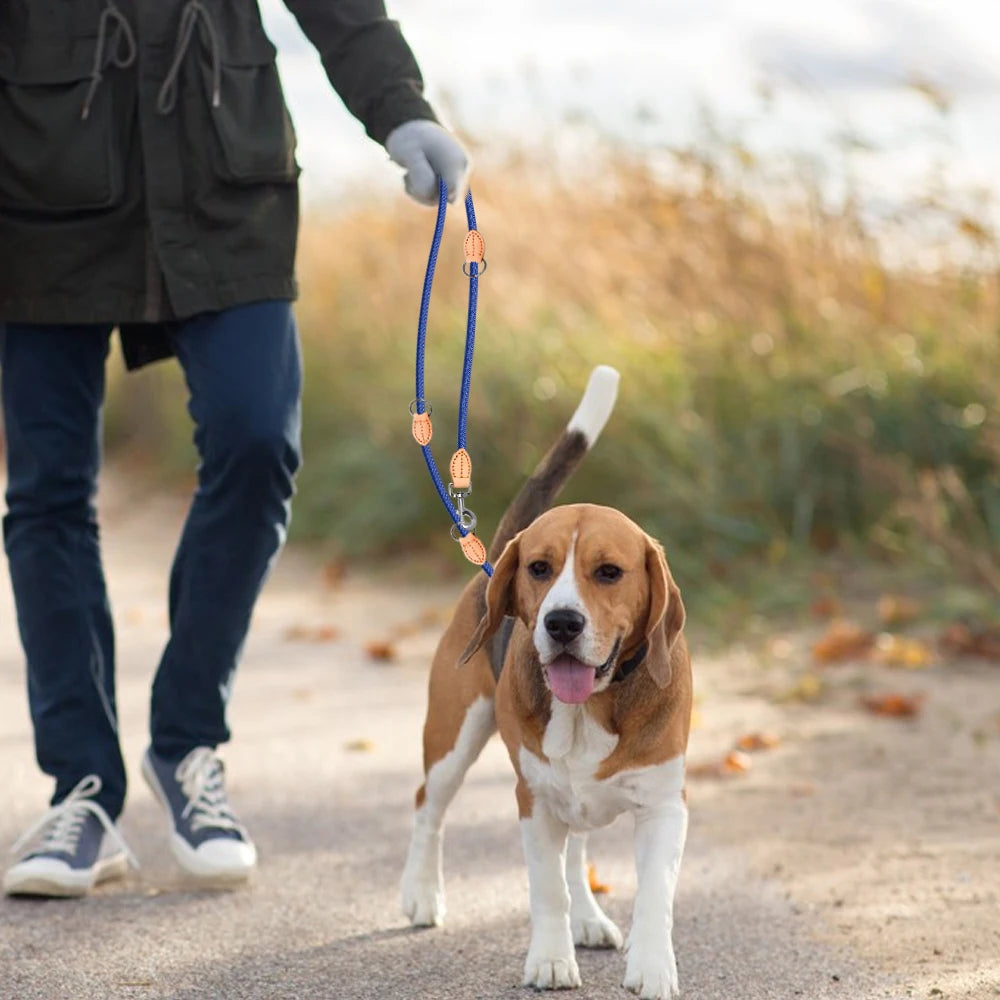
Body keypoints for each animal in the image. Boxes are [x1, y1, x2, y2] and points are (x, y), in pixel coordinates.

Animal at [402, 370, 692, 1000]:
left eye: (608, 572)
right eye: (539, 568)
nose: (562, 623)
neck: (590, 708)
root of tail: (491, 557)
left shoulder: (664, 806)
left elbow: (656, 895)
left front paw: (653, 967)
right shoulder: (532, 801)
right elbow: (546, 888)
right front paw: (552, 961)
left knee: (577, 847)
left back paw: (588, 918)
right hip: (454, 738)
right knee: (428, 808)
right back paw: (421, 893)